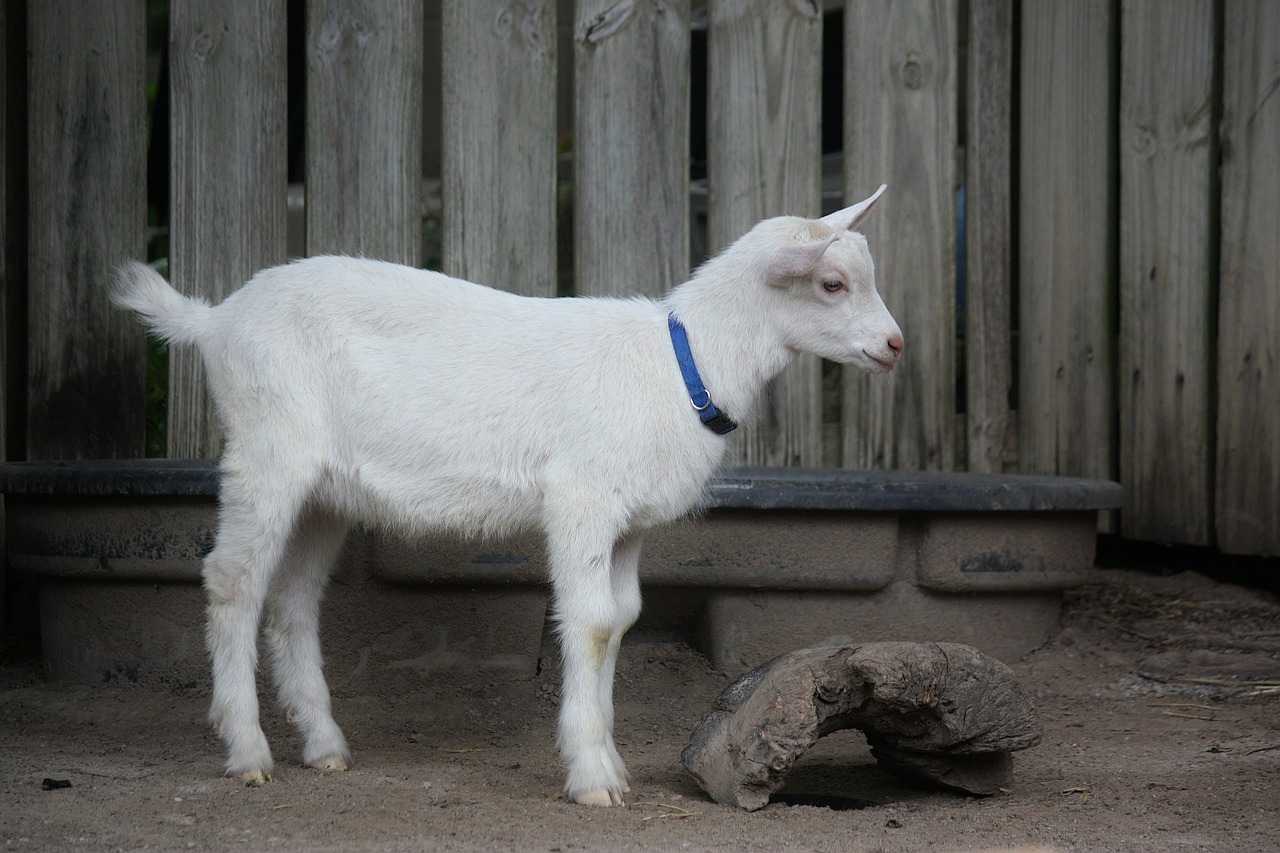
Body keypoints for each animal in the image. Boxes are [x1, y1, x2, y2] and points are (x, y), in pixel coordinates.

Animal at [117, 184, 901, 804]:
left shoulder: (629, 521)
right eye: (832, 284)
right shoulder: (582, 496)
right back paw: (247, 751)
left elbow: (622, 619)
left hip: (325, 491)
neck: (685, 361)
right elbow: (590, 623)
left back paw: (325, 745)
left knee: (292, 601)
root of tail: (215, 319)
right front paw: (591, 778)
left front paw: (612, 761)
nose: (895, 345)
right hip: (266, 448)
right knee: (233, 581)